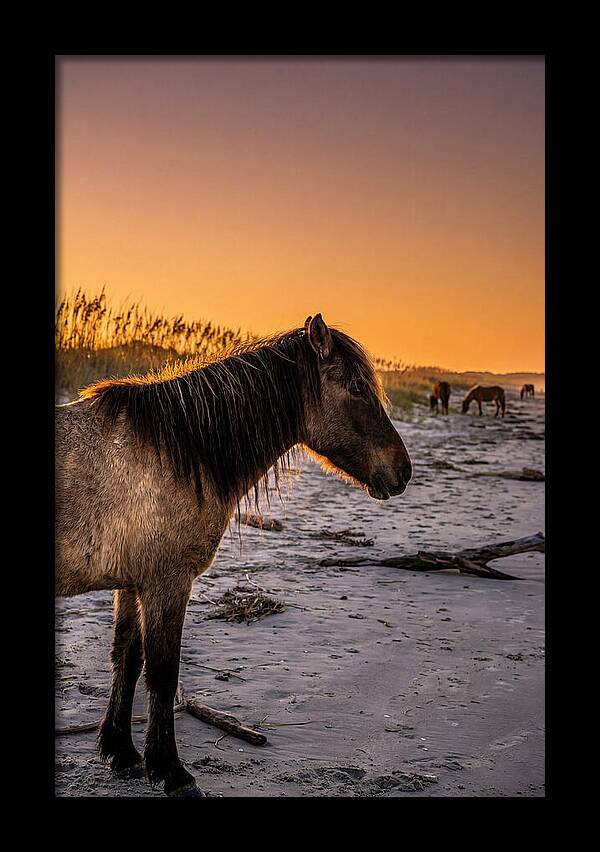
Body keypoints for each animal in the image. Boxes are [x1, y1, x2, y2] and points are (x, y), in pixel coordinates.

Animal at [55, 313, 413, 797]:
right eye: (357, 389)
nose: (403, 471)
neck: (178, 451)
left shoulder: (132, 583)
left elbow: (127, 658)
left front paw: (122, 753)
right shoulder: (167, 584)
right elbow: (163, 673)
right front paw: (171, 770)